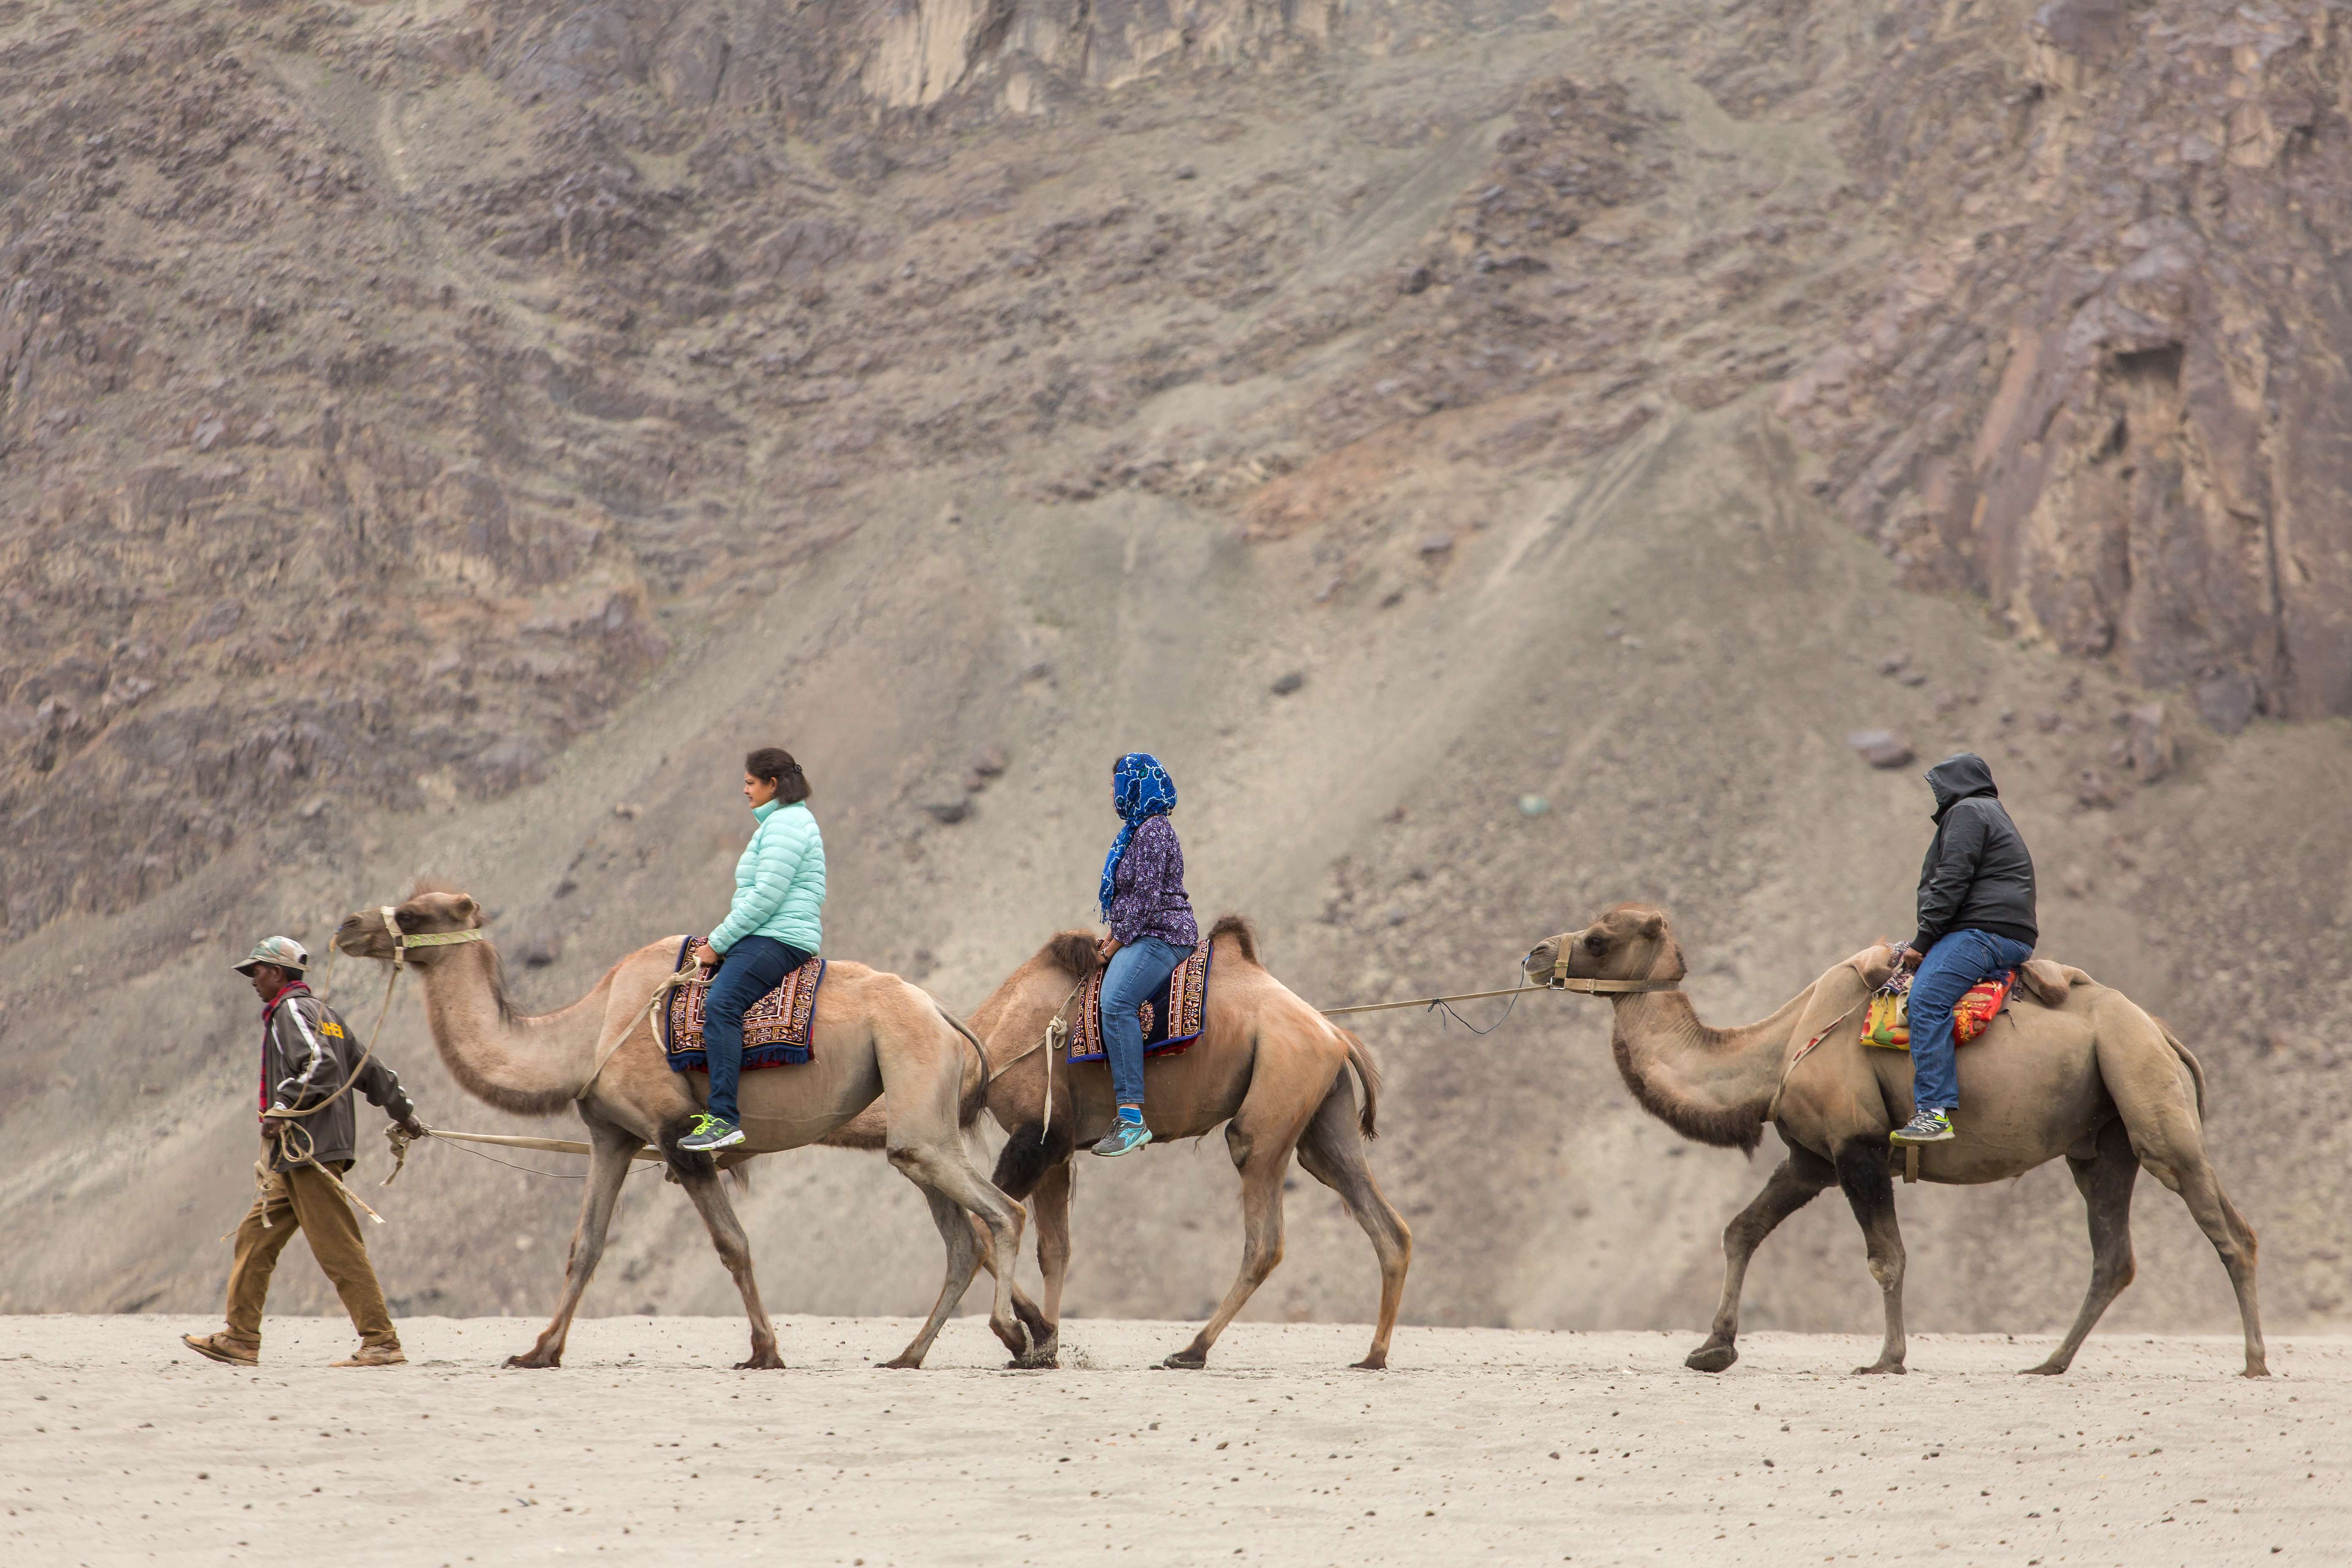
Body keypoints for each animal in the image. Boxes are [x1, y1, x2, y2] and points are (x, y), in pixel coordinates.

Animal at [332, 886, 1032, 1371]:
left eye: (415, 915)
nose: (346, 925)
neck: (588, 1033)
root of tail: (942, 1012)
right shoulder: (611, 1137)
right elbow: (585, 1246)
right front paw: (539, 1352)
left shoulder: (677, 1136)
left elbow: (733, 1243)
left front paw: (764, 1351)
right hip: (917, 1119)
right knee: (959, 1236)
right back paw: (912, 1355)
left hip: (916, 1079)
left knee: (1003, 1213)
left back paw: (1017, 1339)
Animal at [826, 916, 1412, 1370]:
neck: (991, 1045)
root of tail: (1337, 1034)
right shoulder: (1057, 1147)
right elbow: (1054, 1248)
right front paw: (1045, 1345)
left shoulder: (1037, 1135)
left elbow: (989, 1223)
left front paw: (1025, 1337)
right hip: (1322, 1116)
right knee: (1387, 1224)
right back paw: (1374, 1354)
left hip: (1273, 1100)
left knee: (1264, 1234)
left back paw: (1191, 1350)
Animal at [1523, 905, 2264, 1378]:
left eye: (1597, 938)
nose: (1532, 954)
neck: (1775, 1049)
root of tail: (2161, 1032)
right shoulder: (1809, 1159)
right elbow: (1740, 1230)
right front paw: (1712, 1348)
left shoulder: (1854, 1147)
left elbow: (1886, 1258)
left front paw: (1886, 1359)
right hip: (2100, 1142)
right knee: (2113, 1255)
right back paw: (2048, 1363)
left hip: (2147, 1099)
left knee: (2227, 1231)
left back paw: (2254, 1363)